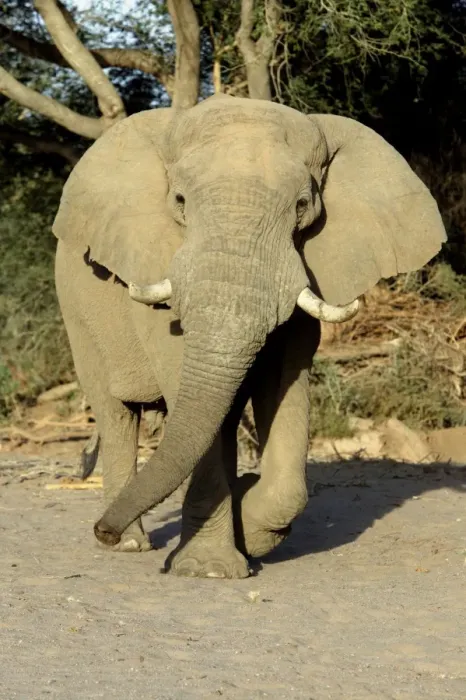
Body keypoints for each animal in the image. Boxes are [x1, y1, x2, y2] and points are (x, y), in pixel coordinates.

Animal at [53, 94, 446, 578]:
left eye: (302, 205)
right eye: (179, 200)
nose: (100, 529)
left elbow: (282, 382)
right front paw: (208, 569)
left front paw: (249, 527)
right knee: (116, 414)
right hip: (76, 311)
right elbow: (183, 378)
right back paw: (128, 544)